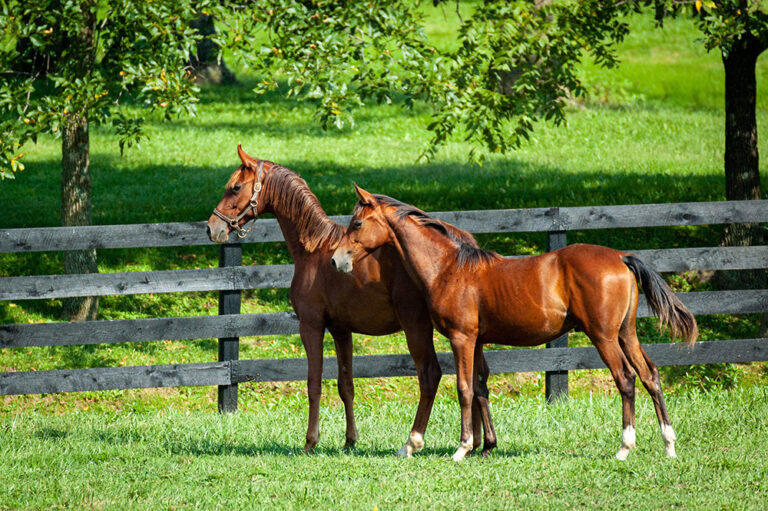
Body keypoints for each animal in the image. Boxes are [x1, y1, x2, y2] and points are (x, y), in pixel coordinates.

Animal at [207, 146, 497, 456]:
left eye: (235, 187)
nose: (212, 228)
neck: (314, 250)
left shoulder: (311, 326)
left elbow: (314, 384)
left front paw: (310, 441)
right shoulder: (341, 330)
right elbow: (346, 385)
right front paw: (350, 440)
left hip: (417, 328)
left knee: (430, 375)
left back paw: (415, 442)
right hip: (468, 336)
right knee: (478, 379)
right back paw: (480, 442)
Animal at [331, 184, 698, 461]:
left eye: (357, 224)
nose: (336, 260)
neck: (449, 268)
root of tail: (620, 257)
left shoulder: (462, 338)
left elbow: (464, 388)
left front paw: (462, 448)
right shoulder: (477, 340)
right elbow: (480, 386)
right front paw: (485, 447)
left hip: (604, 336)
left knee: (626, 379)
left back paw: (624, 447)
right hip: (626, 333)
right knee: (650, 375)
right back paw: (669, 444)